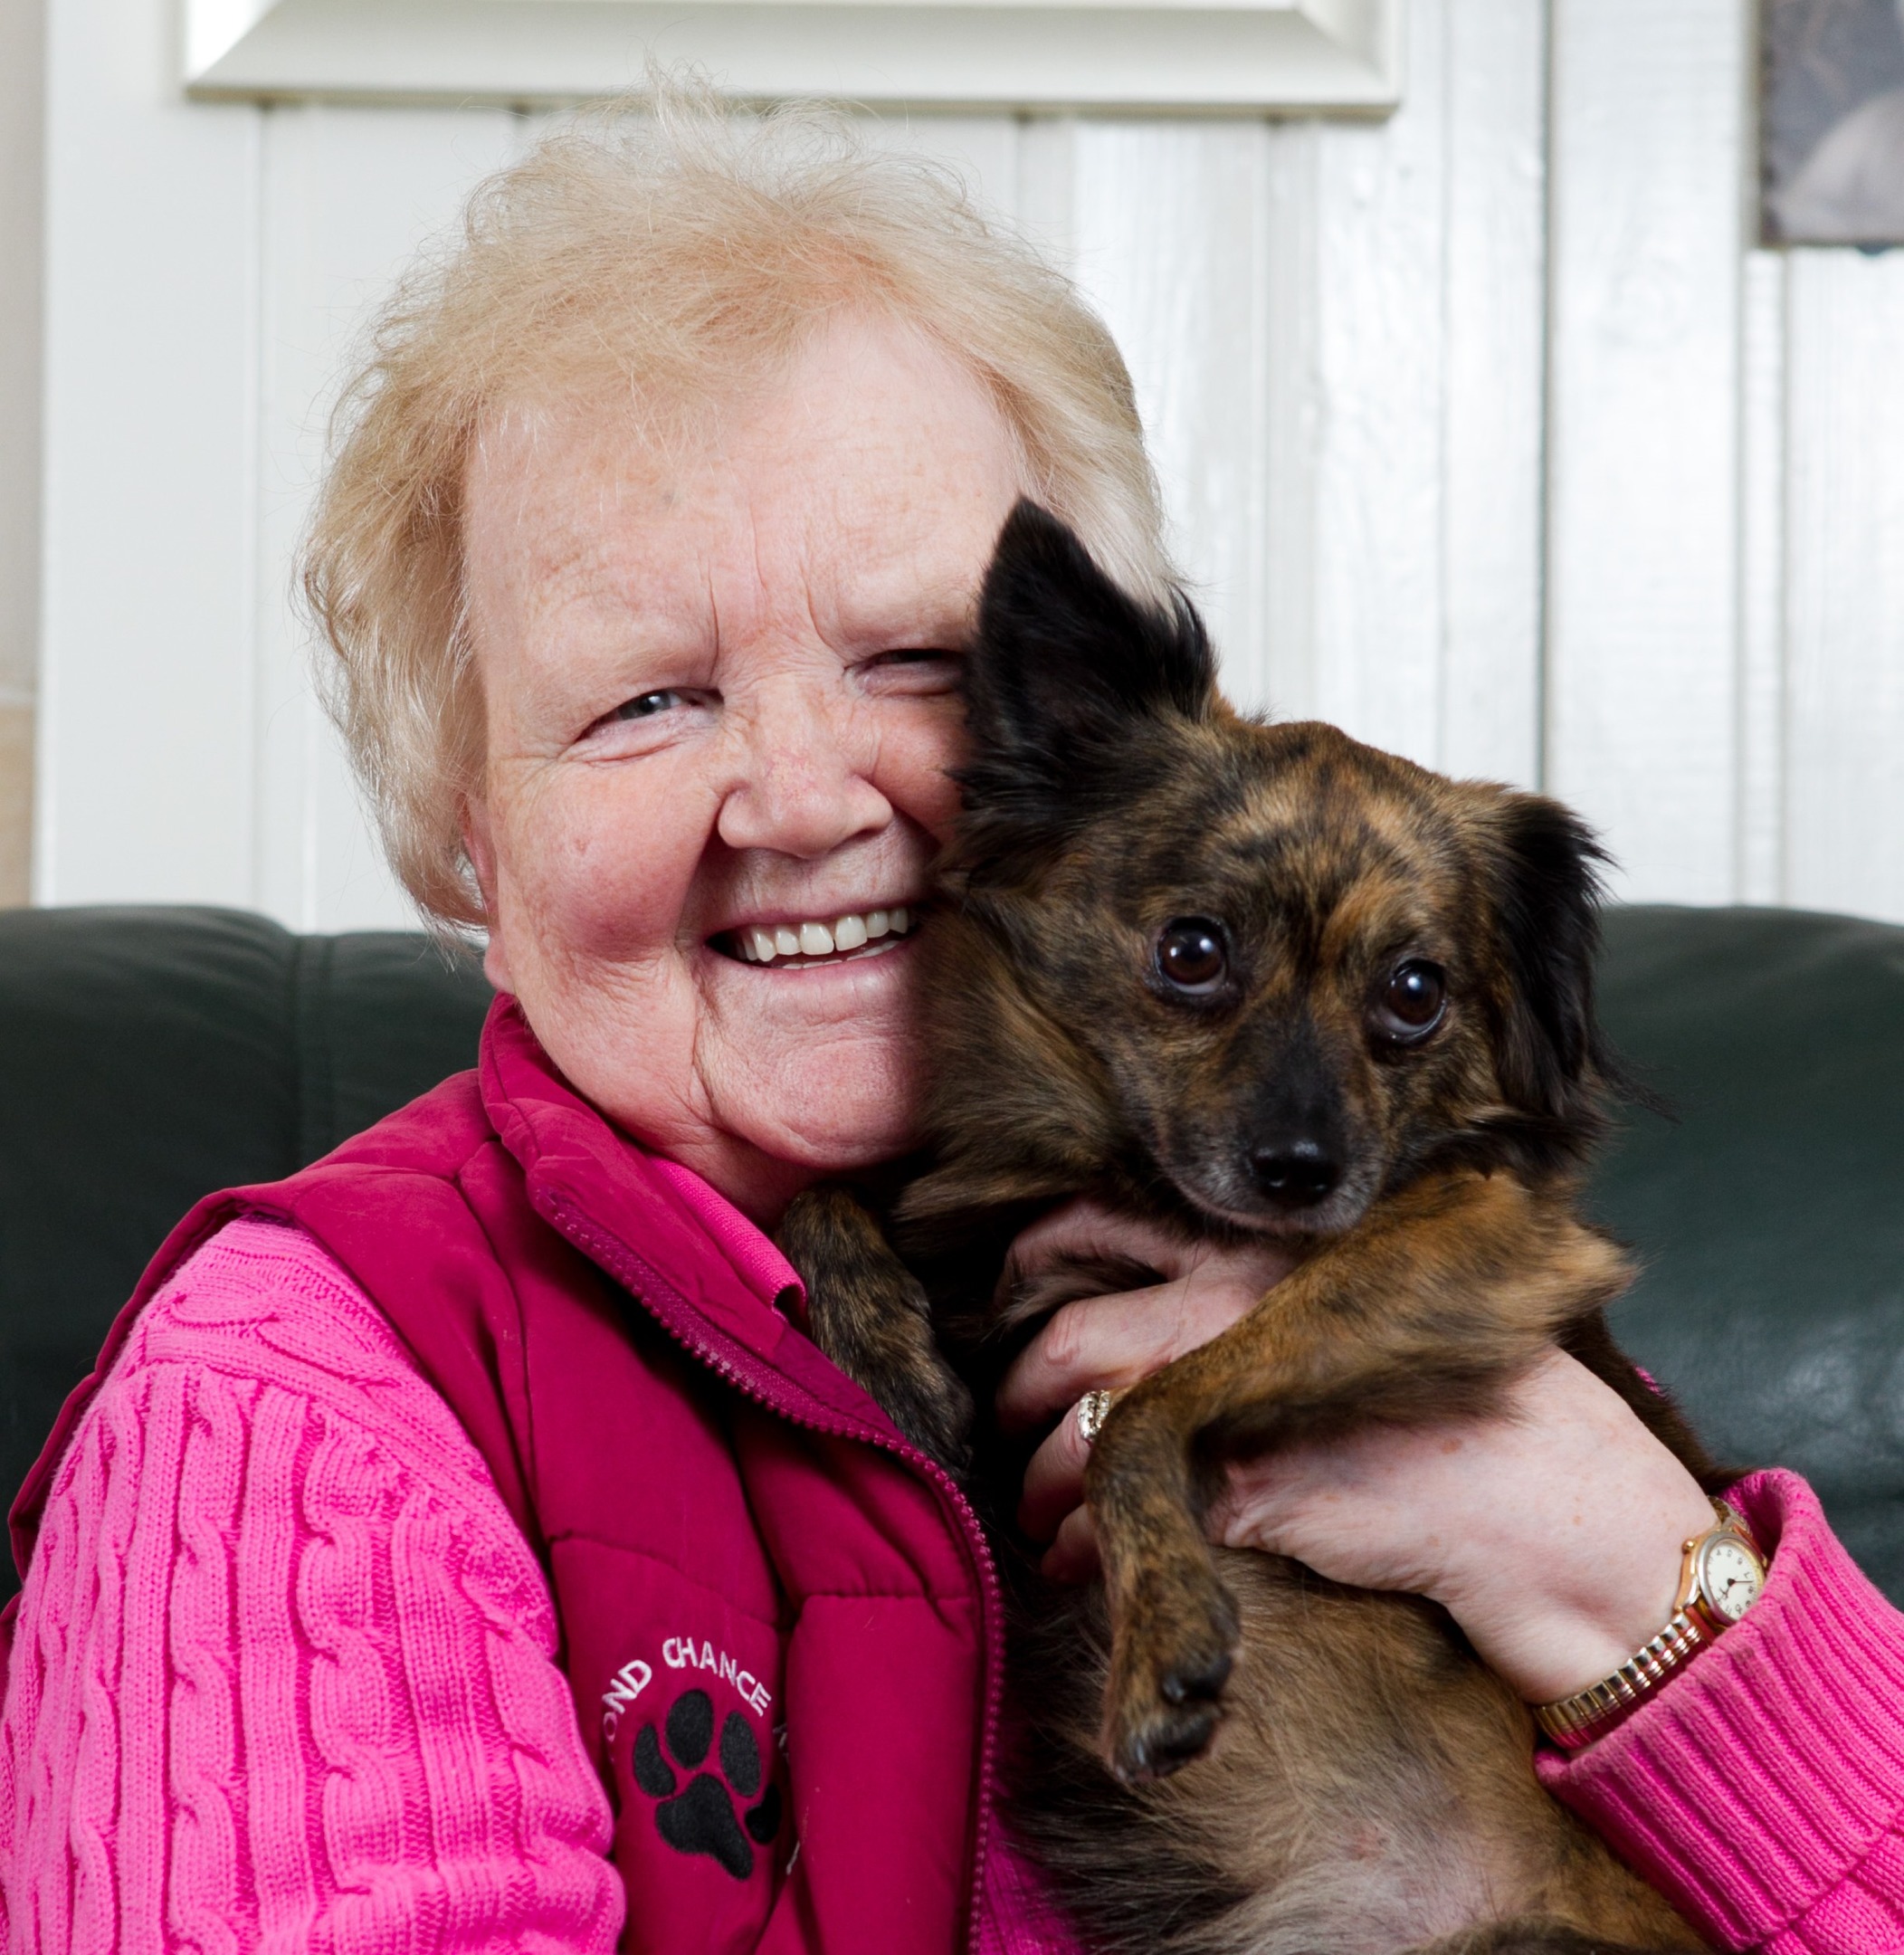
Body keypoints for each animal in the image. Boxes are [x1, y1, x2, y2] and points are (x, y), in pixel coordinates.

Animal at [782, 504, 1719, 1955]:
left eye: (1415, 994)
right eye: (1192, 952)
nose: (1297, 1169)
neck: (1131, 1179)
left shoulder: (1471, 1243)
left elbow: (1146, 1409)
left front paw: (1165, 1635)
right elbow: (823, 1190)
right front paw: (882, 1344)